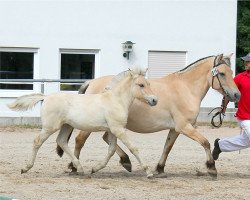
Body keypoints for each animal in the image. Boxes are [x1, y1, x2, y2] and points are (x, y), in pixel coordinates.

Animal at [8, 68, 158, 177]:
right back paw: (25, 168)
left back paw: (79, 168)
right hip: (50, 127)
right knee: (37, 141)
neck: (115, 100)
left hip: (66, 126)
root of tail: (46, 97)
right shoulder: (118, 129)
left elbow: (111, 150)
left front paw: (95, 169)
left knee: (61, 141)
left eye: (149, 84)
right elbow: (133, 148)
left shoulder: (113, 130)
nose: (154, 100)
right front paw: (148, 171)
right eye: (141, 84)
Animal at [58, 53, 240, 177]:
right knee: (80, 140)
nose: (236, 95)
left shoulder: (175, 129)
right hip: (91, 124)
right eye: (222, 73)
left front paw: (159, 169)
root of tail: (91, 82)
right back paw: (74, 166)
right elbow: (205, 142)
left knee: (106, 139)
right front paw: (211, 168)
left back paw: (126, 161)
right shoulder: (185, 127)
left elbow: (167, 147)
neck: (185, 88)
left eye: (231, 71)